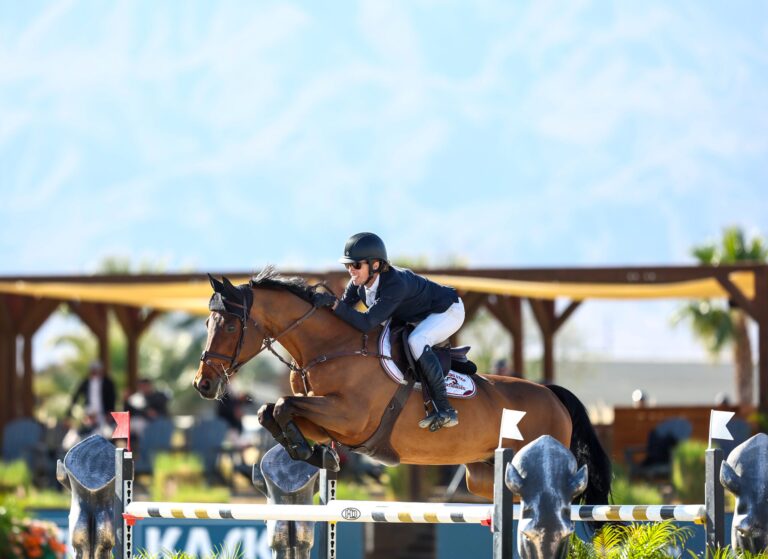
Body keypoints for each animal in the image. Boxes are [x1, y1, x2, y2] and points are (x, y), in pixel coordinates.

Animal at [194, 268, 612, 504]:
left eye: (228, 325)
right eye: (207, 324)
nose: (203, 384)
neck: (331, 348)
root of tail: (552, 394)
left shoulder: (350, 418)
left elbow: (281, 405)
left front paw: (306, 452)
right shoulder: (327, 420)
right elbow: (271, 411)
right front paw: (313, 455)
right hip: (481, 475)